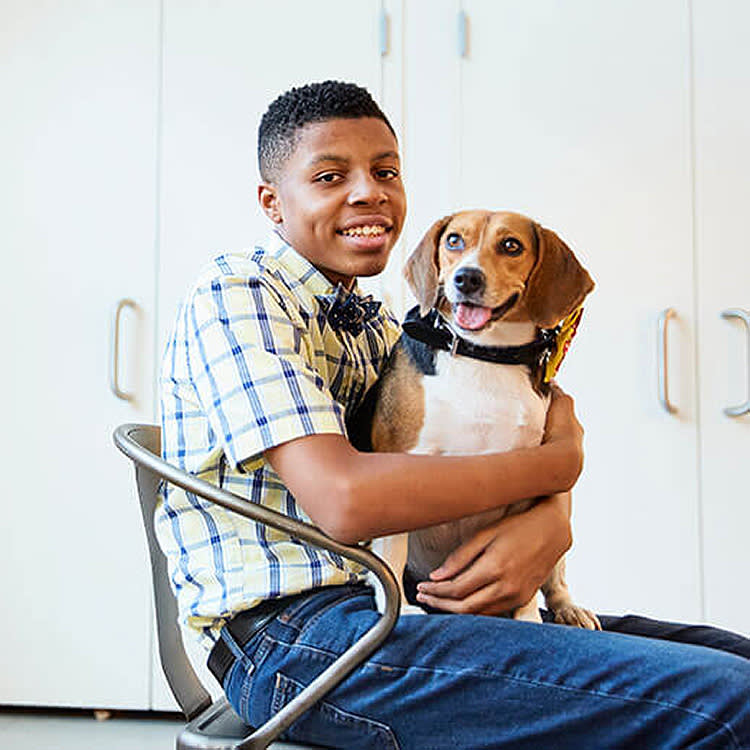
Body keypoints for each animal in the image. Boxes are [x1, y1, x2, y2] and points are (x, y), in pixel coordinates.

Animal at [368, 212, 600, 628]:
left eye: (511, 245)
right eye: (454, 240)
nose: (467, 278)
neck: (483, 354)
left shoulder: (529, 479)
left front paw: (527, 618)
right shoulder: (398, 465)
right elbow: (391, 552)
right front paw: (401, 609)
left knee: (554, 577)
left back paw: (568, 607)